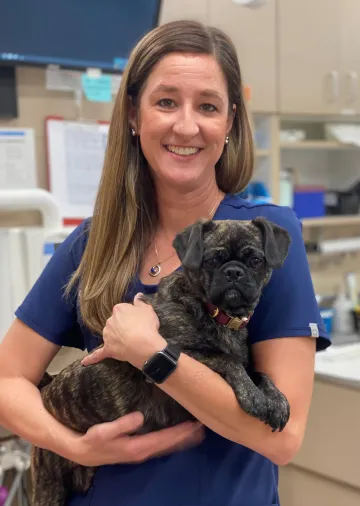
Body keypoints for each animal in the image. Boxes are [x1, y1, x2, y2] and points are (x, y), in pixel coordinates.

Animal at [31, 217, 292, 506]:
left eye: (255, 260)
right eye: (211, 261)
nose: (233, 272)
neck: (216, 314)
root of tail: (46, 391)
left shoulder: (246, 364)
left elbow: (261, 374)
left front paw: (277, 400)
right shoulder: (181, 352)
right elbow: (225, 360)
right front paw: (254, 397)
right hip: (48, 487)